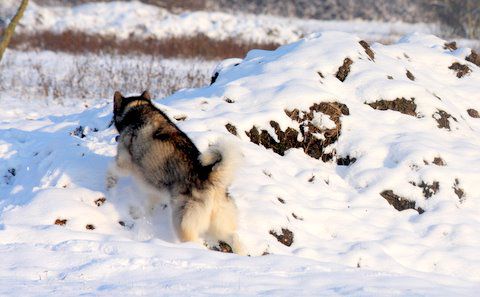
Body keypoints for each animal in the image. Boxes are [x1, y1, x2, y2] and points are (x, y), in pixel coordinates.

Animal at [106, 91, 246, 254]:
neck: (138, 109)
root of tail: (210, 178)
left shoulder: (124, 163)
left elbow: (111, 169)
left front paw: (109, 185)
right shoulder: (154, 189)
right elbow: (147, 206)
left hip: (182, 223)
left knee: (195, 243)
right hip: (219, 225)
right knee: (235, 238)